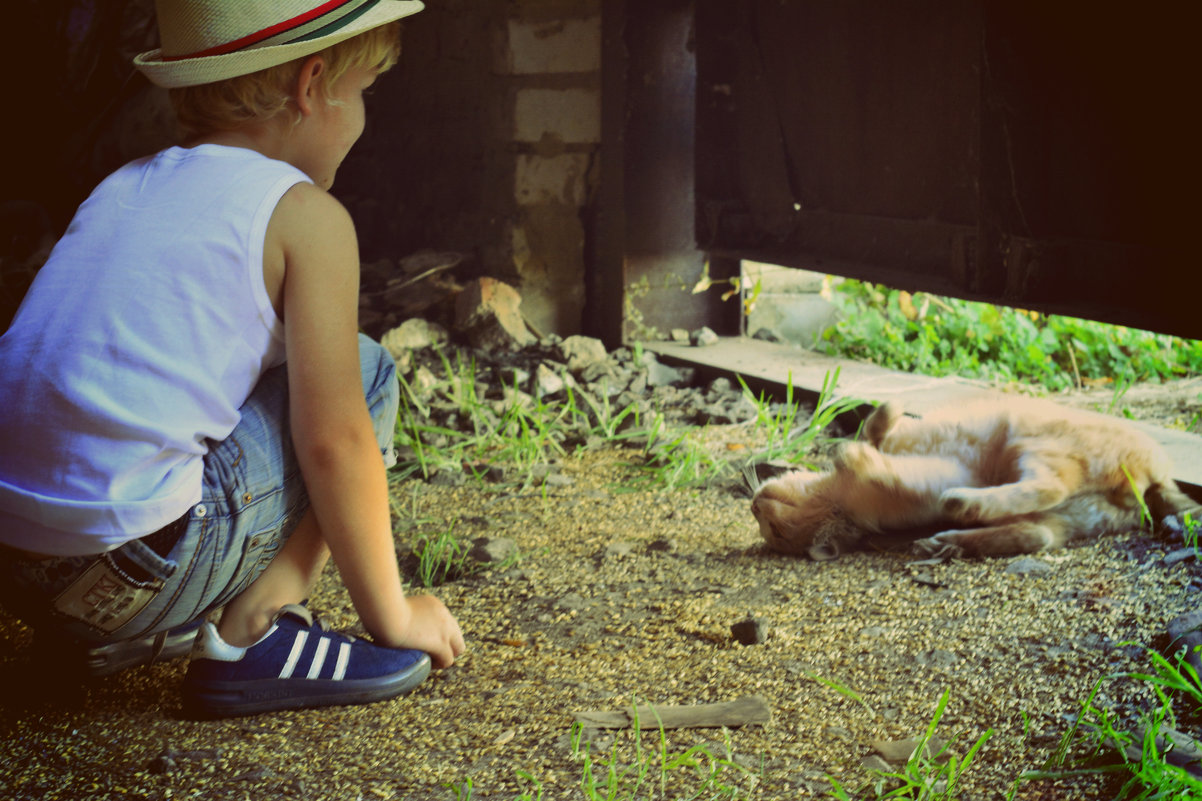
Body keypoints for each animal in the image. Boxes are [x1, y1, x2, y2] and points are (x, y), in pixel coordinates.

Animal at [750, 396, 1192, 558]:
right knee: (1039, 516)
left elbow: (879, 428)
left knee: (1042, 501)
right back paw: (950, 528)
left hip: (1038, 448)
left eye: (774, 529)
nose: (754, 504)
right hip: (1049, 476)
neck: (838, 504)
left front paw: (857, 446)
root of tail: (1154, 478)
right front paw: (854, 456)